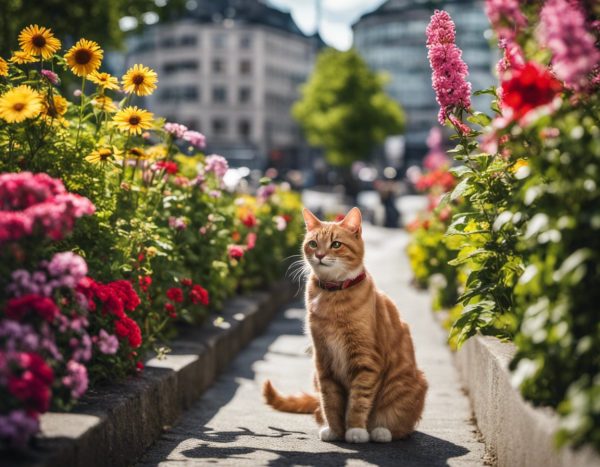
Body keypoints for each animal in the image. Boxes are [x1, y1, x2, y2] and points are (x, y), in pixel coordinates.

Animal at [262, 209, 426, 446]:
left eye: (336, 244)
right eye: (313, 244)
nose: (320, 255)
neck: (333, 296)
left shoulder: (366, 361)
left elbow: (358, 401)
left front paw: (355, 430)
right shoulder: (323, 360)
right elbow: (330, 401)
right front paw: (335, 430)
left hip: (406, 384)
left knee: (401, 425)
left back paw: (381, 431)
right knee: (317, 409)